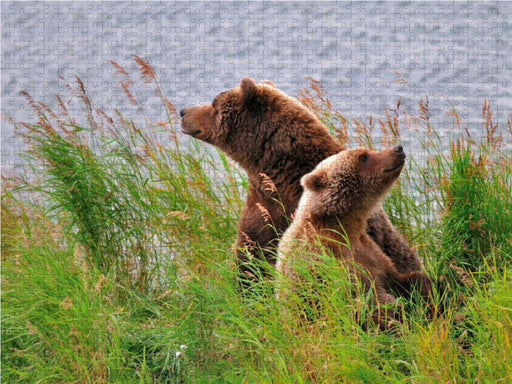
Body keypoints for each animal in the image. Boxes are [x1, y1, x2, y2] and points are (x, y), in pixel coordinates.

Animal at [276, 146, 432, 328]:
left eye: (367, 151)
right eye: (363, 157)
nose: (397, 148)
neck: (345, 226)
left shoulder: (370, 251)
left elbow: (399, 279)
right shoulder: (328, 261)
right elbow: (368, 301)